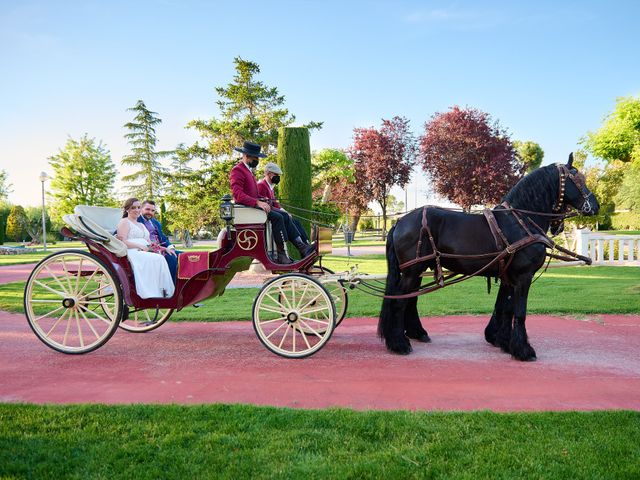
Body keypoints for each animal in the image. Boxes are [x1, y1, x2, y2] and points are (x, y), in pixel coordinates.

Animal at [378, 156, 596, 362]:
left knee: (410, 300)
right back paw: (399, 343)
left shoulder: (509, 276)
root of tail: (399, 222)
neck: (520, 220)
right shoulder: (523, 276)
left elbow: (505, 308)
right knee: (399, 302)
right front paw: (523, 350)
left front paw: (503, 341)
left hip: (417, 271)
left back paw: (415, 333)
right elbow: (519, 312)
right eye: (578, 178)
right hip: (412, 271)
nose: (595, 205)